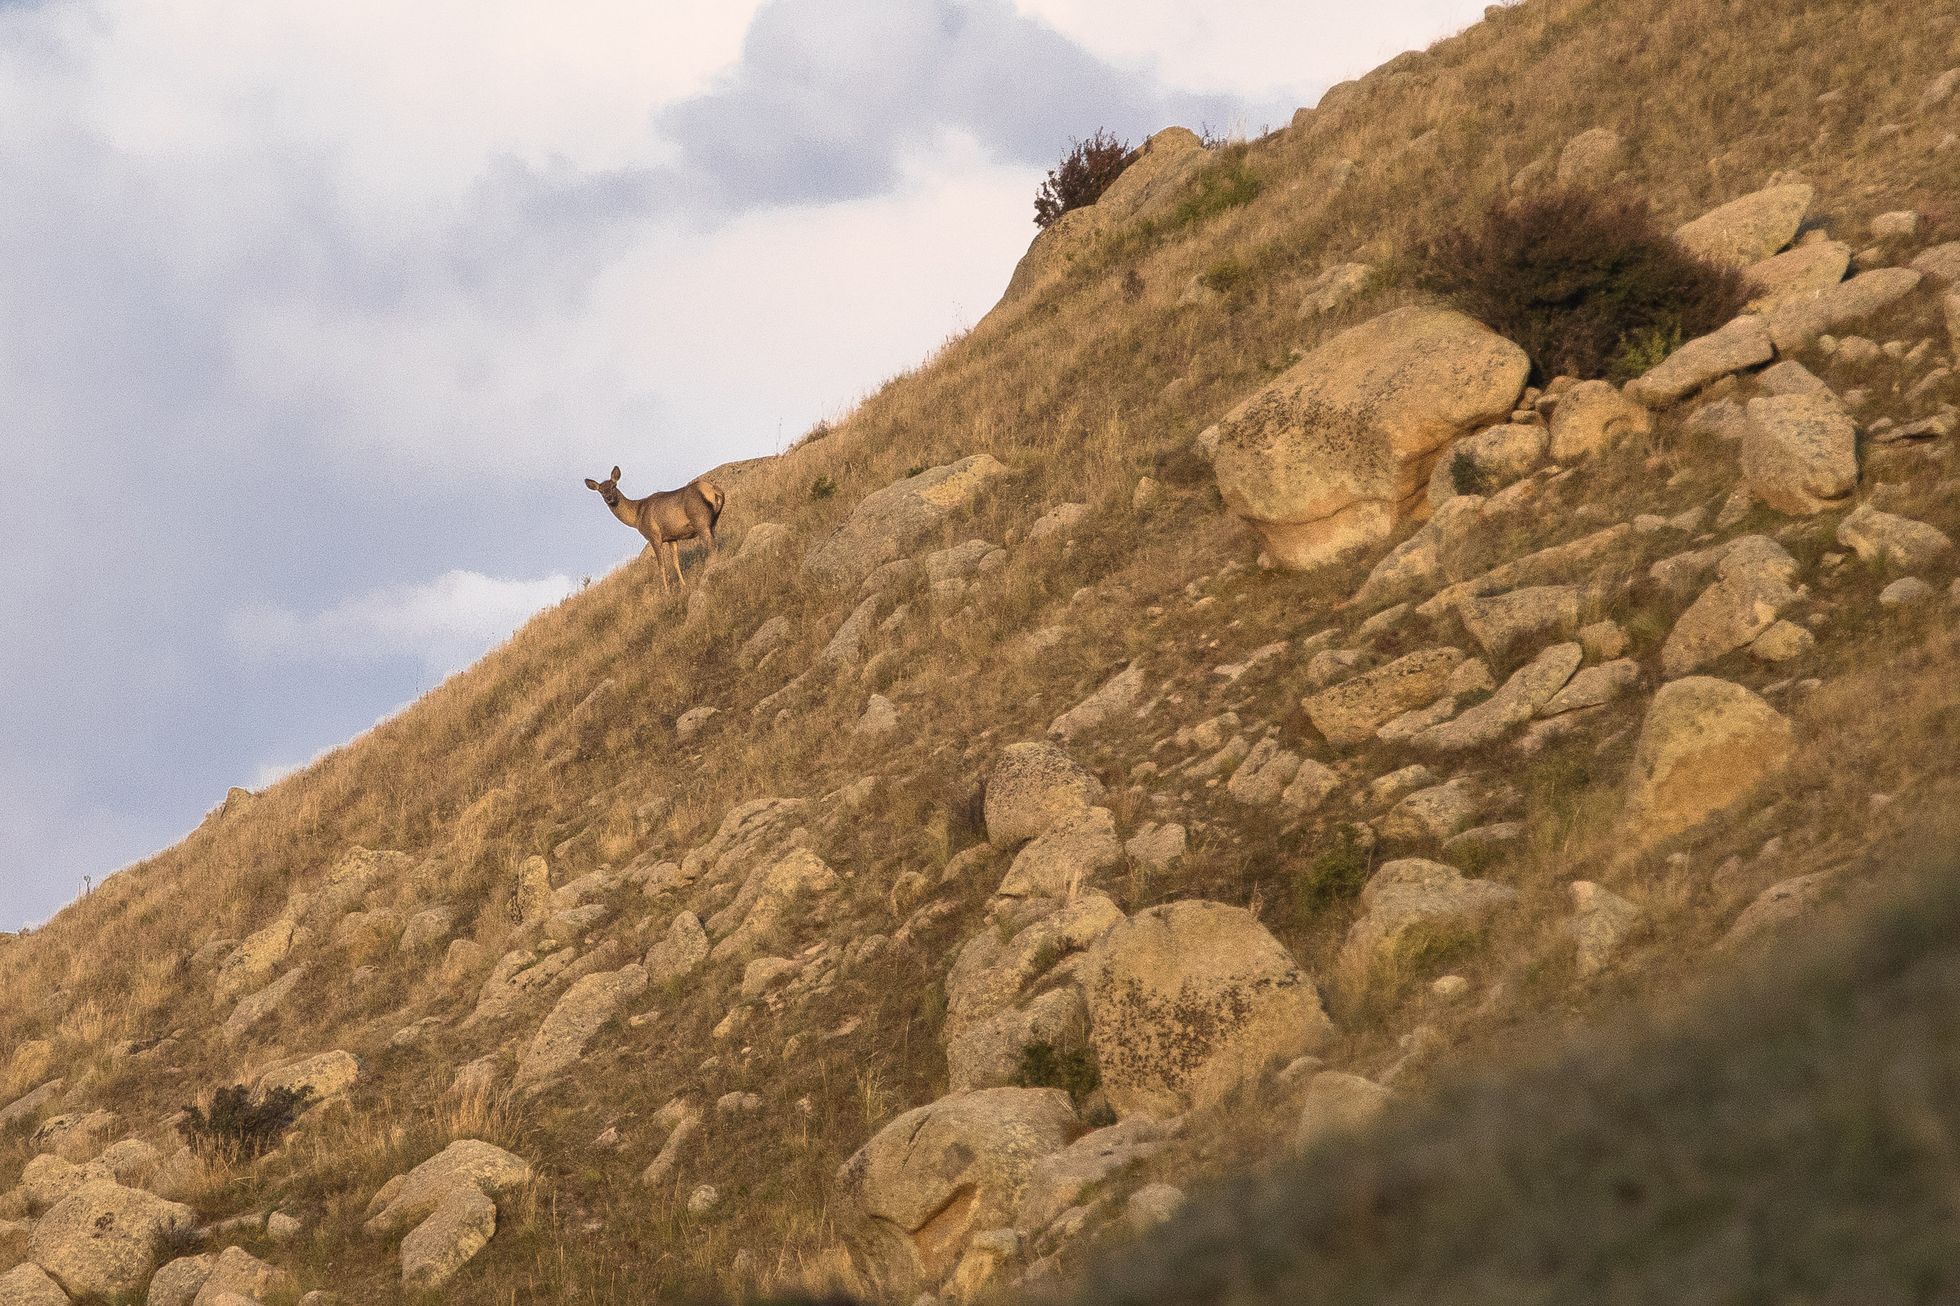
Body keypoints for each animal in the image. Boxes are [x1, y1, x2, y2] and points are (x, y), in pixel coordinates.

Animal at [588, 464, 736, 592]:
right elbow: (675, 562)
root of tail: (713, 490)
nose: (609, 498)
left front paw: (666, 591)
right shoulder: (672, 537)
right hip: (714, 521)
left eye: (614, 486)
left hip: (700, 520)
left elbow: (661, 566)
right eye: (601, 491)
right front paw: (683, 585)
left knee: (711, 546)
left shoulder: (654, 535)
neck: (637, 516)